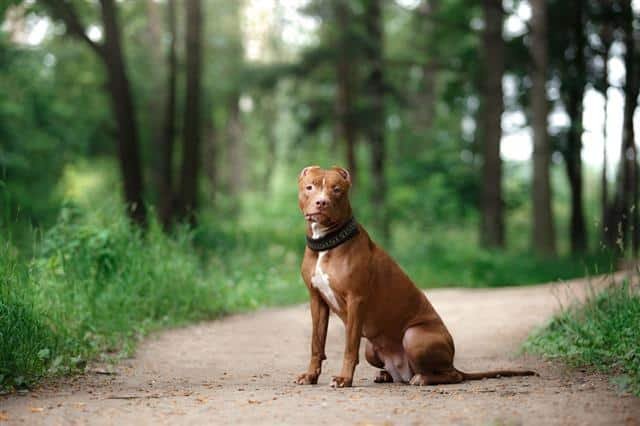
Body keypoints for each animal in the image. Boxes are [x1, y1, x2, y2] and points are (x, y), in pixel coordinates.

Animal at [296, 165, 536, 388]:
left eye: (336, 190)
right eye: (310, 187)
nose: (322, 202)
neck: (326, 243)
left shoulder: (356, 300)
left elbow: (349, 347)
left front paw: (344, 379)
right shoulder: (317, 300)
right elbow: (316, 343)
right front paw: (310, 376)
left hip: (414, 337)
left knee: (451, 375)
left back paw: (422, 378)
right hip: (371, 349)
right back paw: (386, 375)